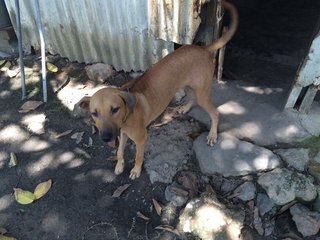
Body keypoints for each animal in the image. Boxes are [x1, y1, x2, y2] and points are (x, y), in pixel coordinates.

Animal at [78, 0, 238, 179]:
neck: (127, 116)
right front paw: (119, 165)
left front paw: (136, 170)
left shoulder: (141, 139)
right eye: (94, 113)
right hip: (188, 85)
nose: (105, 138)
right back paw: (185, 108)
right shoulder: (123, 134)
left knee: (215, 113)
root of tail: (203, 49)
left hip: (202, 92)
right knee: (192, 97)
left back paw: (212, 135)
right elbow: (119, 151)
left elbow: (138, 156)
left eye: (115, 109)